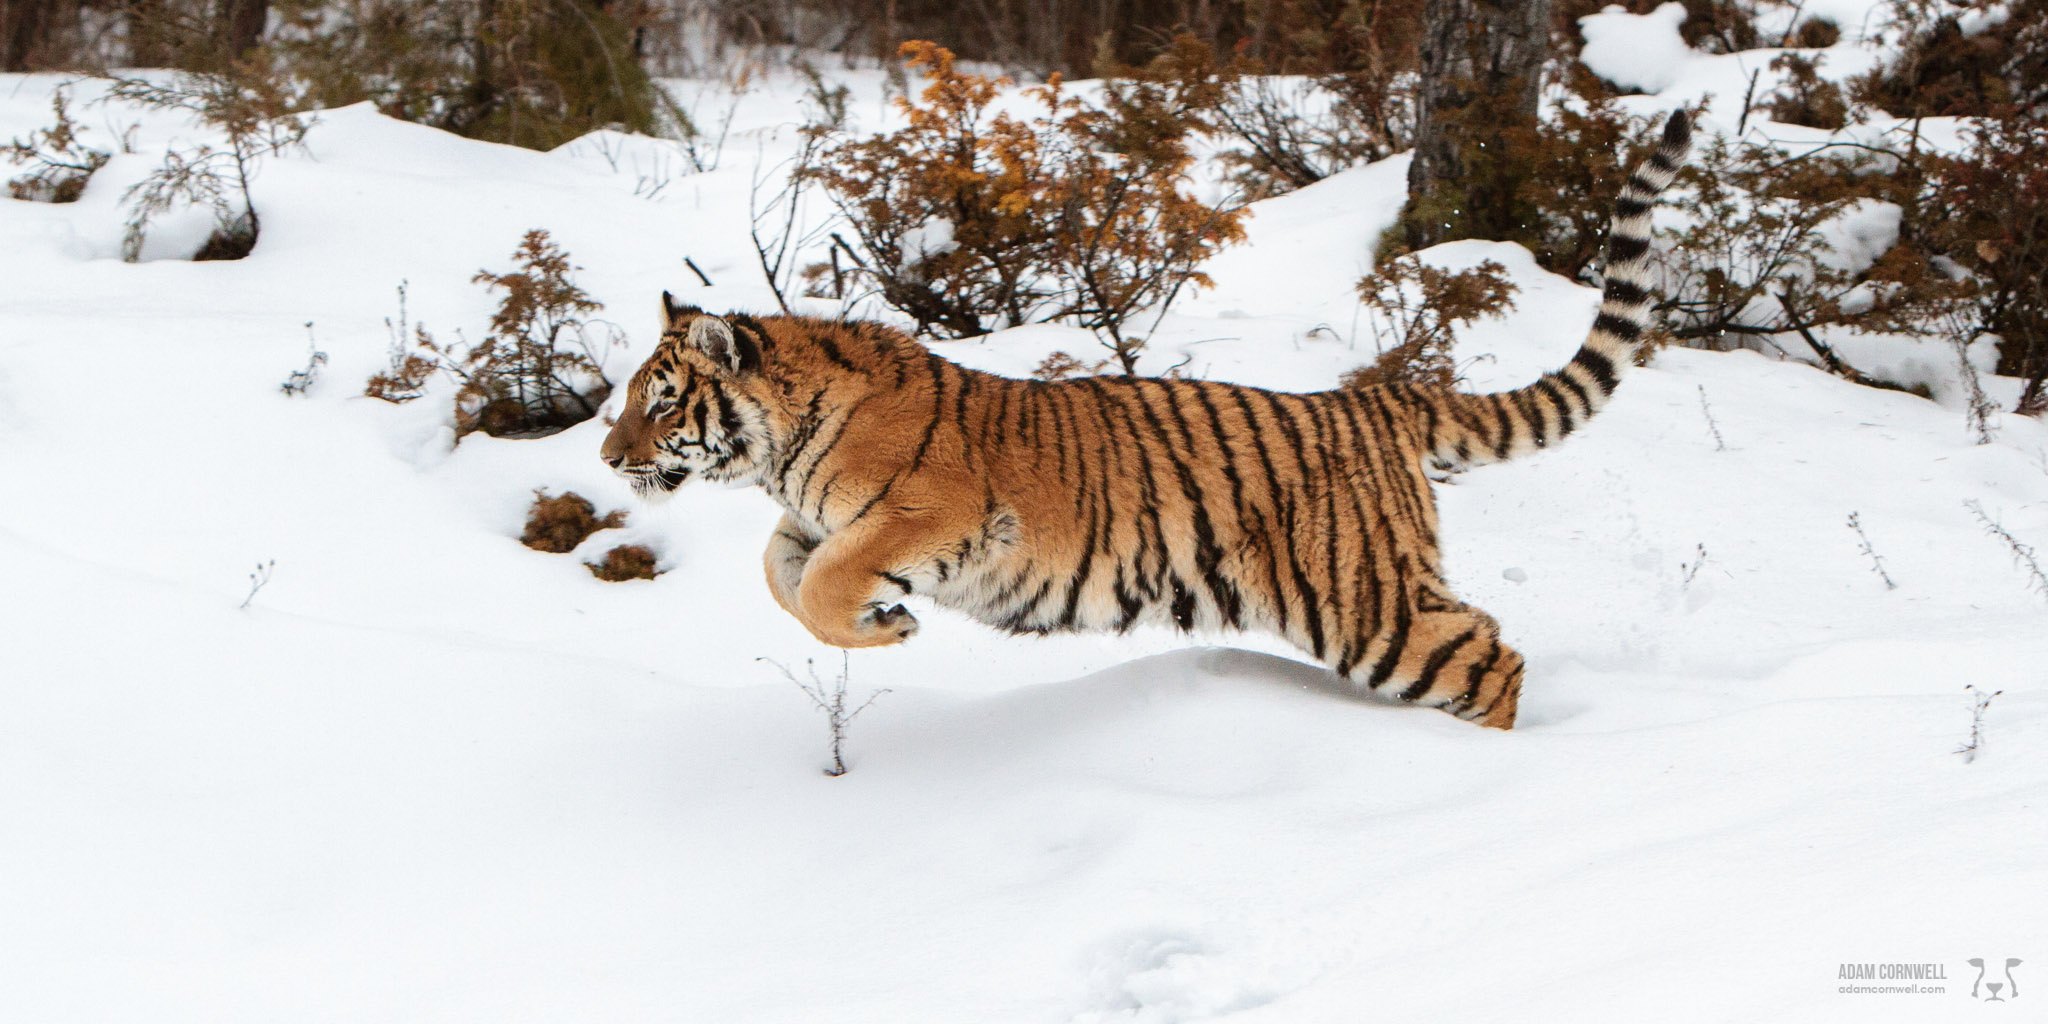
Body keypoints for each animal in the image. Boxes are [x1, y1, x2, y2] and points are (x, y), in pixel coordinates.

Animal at [598, 112, 1687, 729]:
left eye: (660, 401)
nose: (608, 457)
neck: (778, 450)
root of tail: (1373, 395)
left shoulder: (927, 514)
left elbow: (820, 583)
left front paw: (885, 621)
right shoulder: (810, 520)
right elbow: (782, 577)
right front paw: (886, 618)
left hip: (1359, 600)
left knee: (1491, 659)